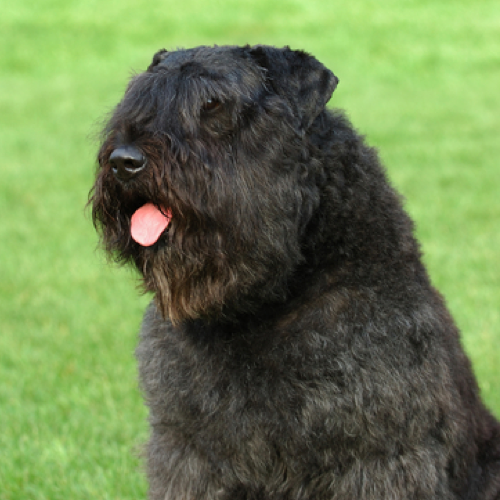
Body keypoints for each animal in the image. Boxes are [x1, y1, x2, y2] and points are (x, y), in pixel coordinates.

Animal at [90, 46, 500, 500]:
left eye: (213, 104)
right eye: (138, 97)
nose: (124, 161)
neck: (261, 307)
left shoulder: (378, 457)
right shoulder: (188, 451)